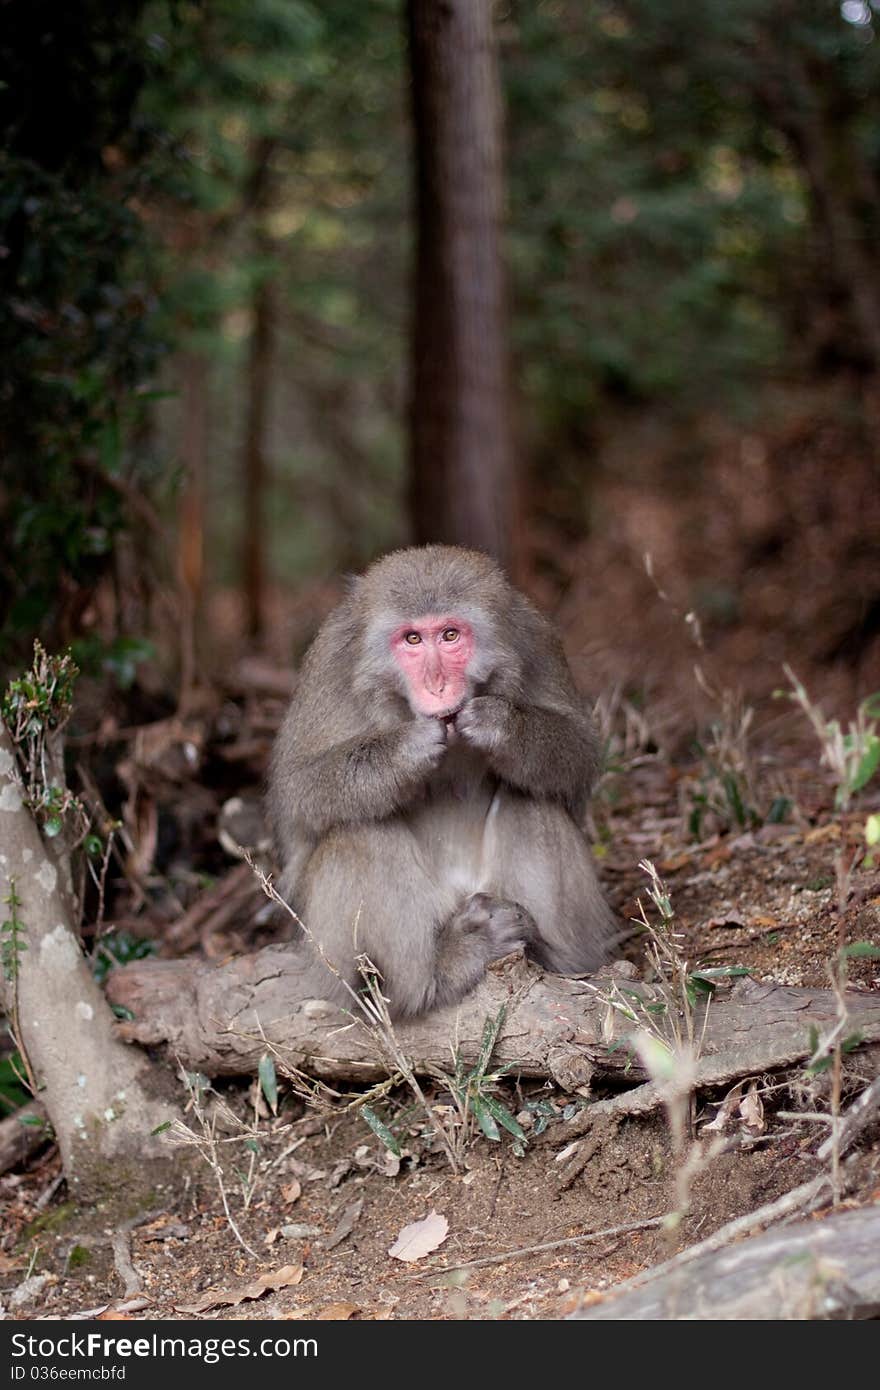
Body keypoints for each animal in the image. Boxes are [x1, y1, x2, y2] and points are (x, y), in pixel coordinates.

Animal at [264, 544, 614, 1023]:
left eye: (450, 635)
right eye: (413, 640)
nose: (437, 684)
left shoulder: (535, 639)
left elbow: (577, 755)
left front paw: (501, 726)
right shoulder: (330, 664)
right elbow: (298, 788)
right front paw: (403, 751)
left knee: (533, 802)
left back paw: (548, 955)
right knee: (359, 833)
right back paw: (435, 976)